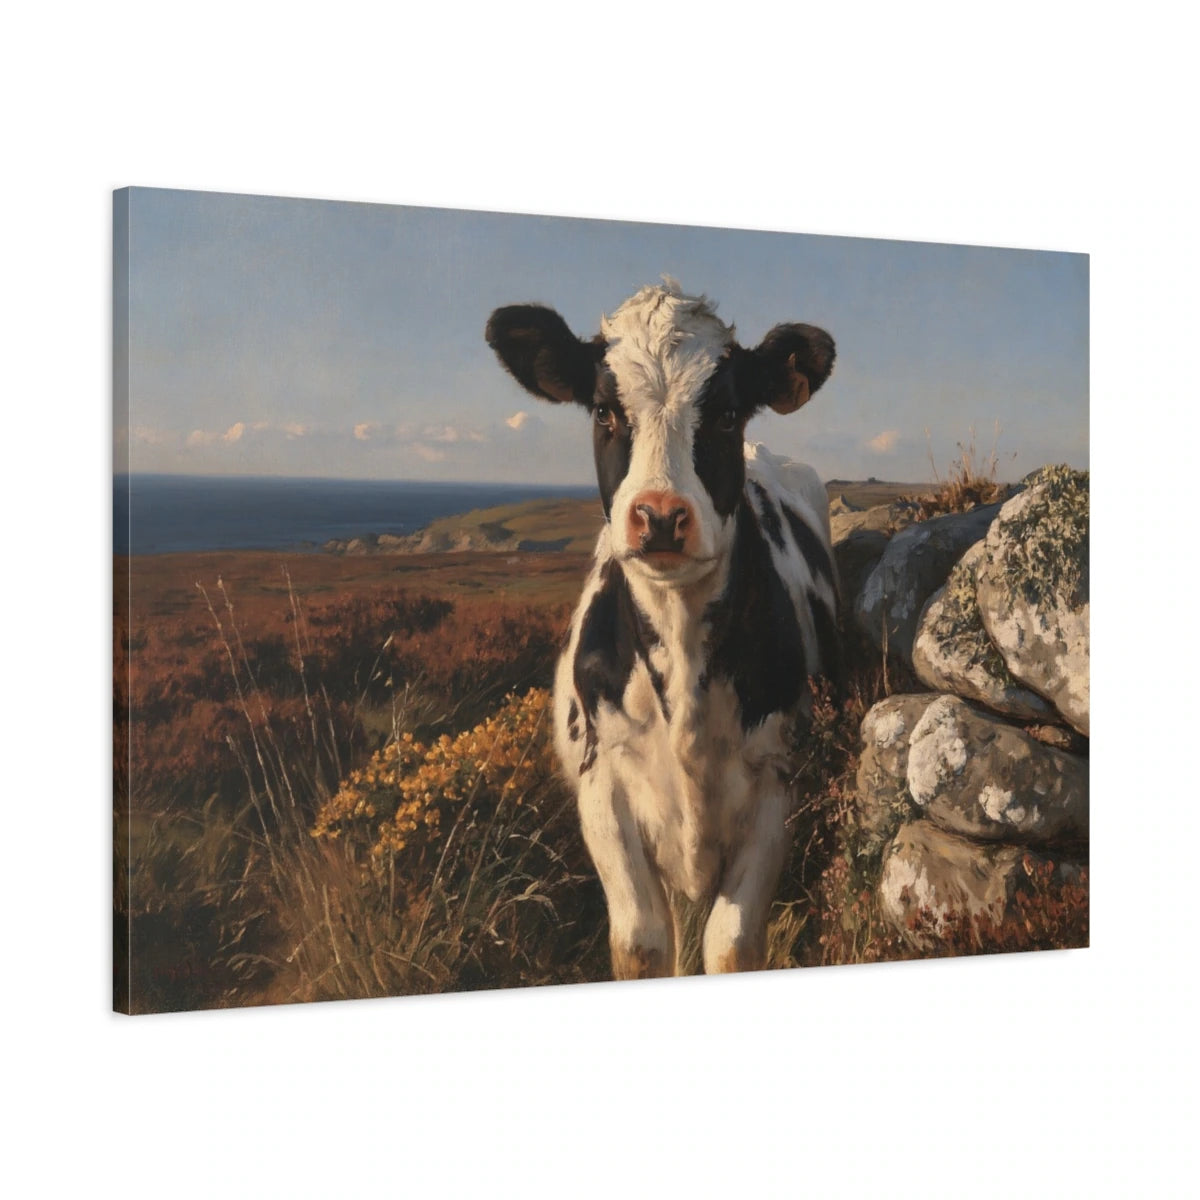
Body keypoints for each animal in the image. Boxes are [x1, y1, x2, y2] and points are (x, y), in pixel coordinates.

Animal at [485, 279, 840, 980]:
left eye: (727, 412)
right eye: (603, 410)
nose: (659, 517)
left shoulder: (775, 782)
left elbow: (731, 945)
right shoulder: (603, 787)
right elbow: (642, 943)